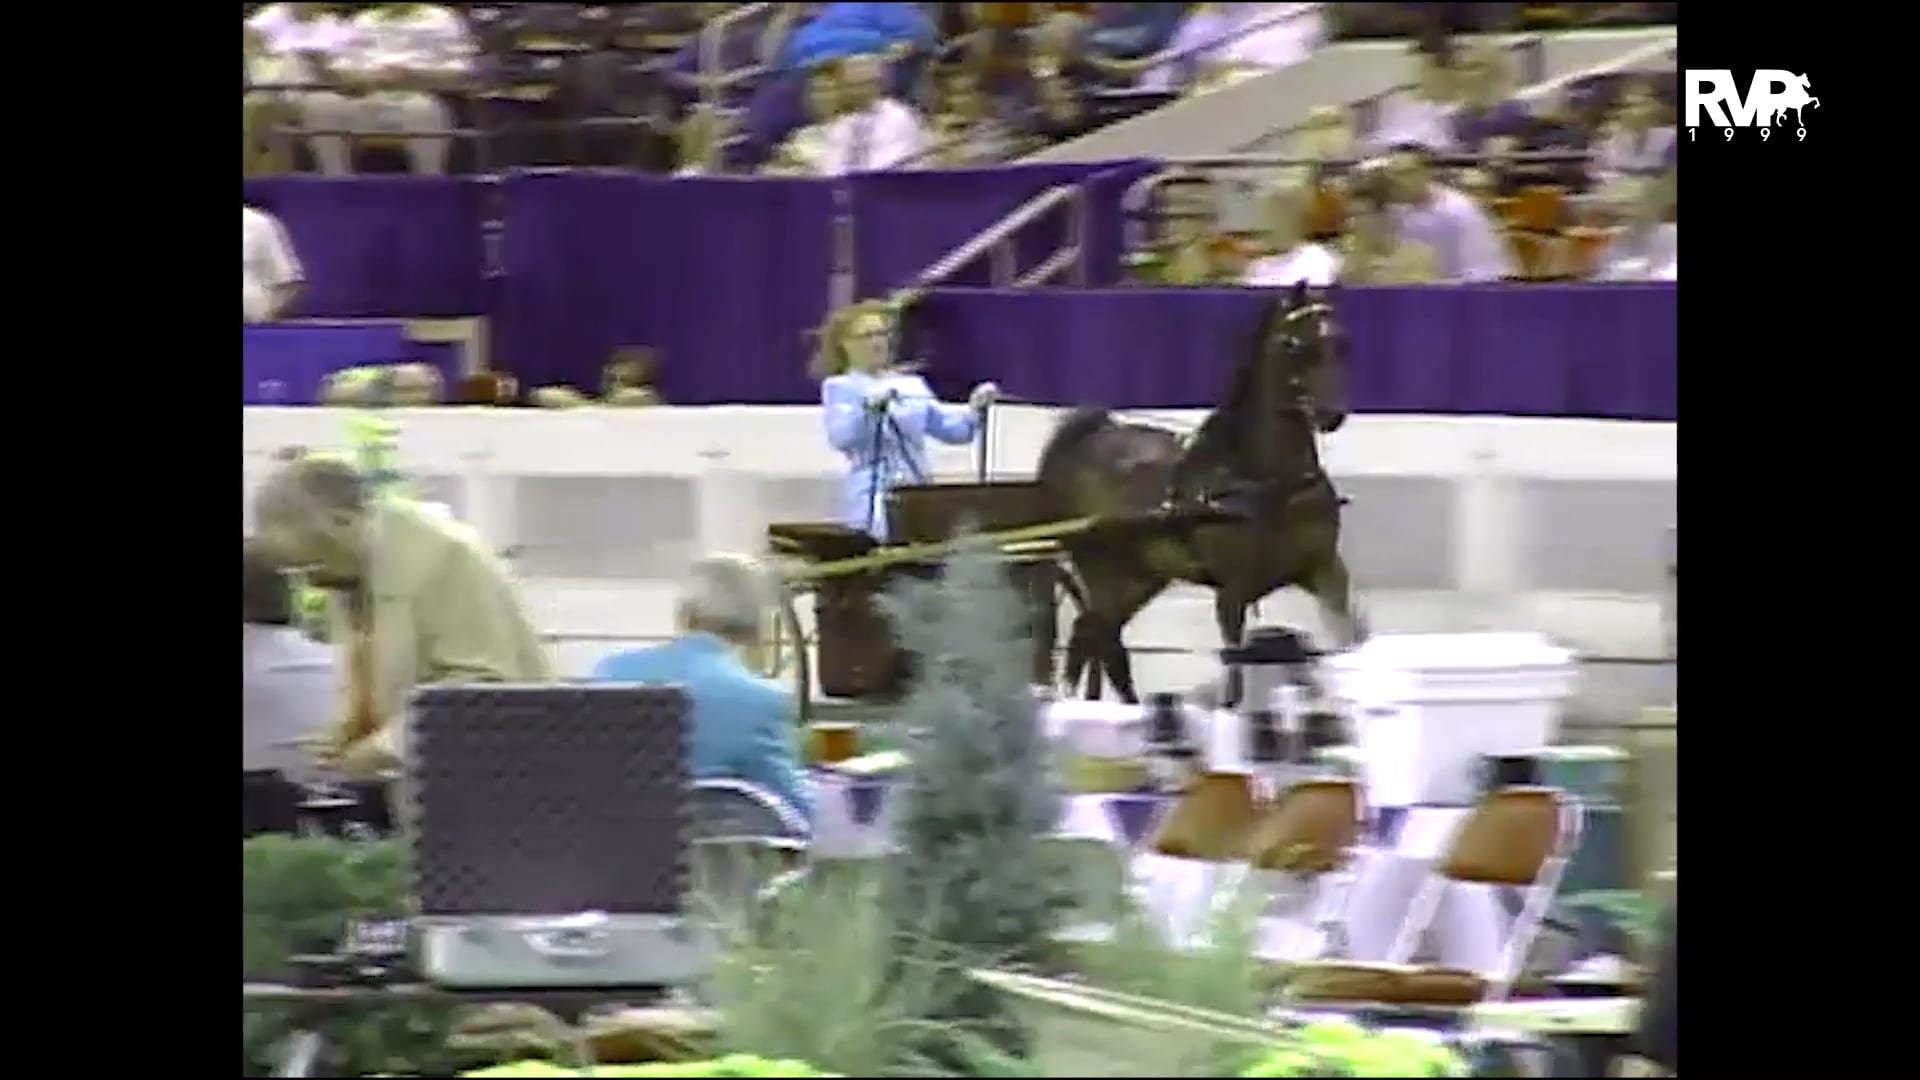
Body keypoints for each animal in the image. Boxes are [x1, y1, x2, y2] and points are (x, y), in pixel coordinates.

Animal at [1034, 281, 1362, 704]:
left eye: (1341, 342)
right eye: (1295, 345)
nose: (1331, 414)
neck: (1268, 480)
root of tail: (1090, 438)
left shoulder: (1324, 568)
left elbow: (1349, 633)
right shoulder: (1233, 593)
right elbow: (1234, 673)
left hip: (1140, 577)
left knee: (1095, 636)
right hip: (1104, 571)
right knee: (1095, 636)